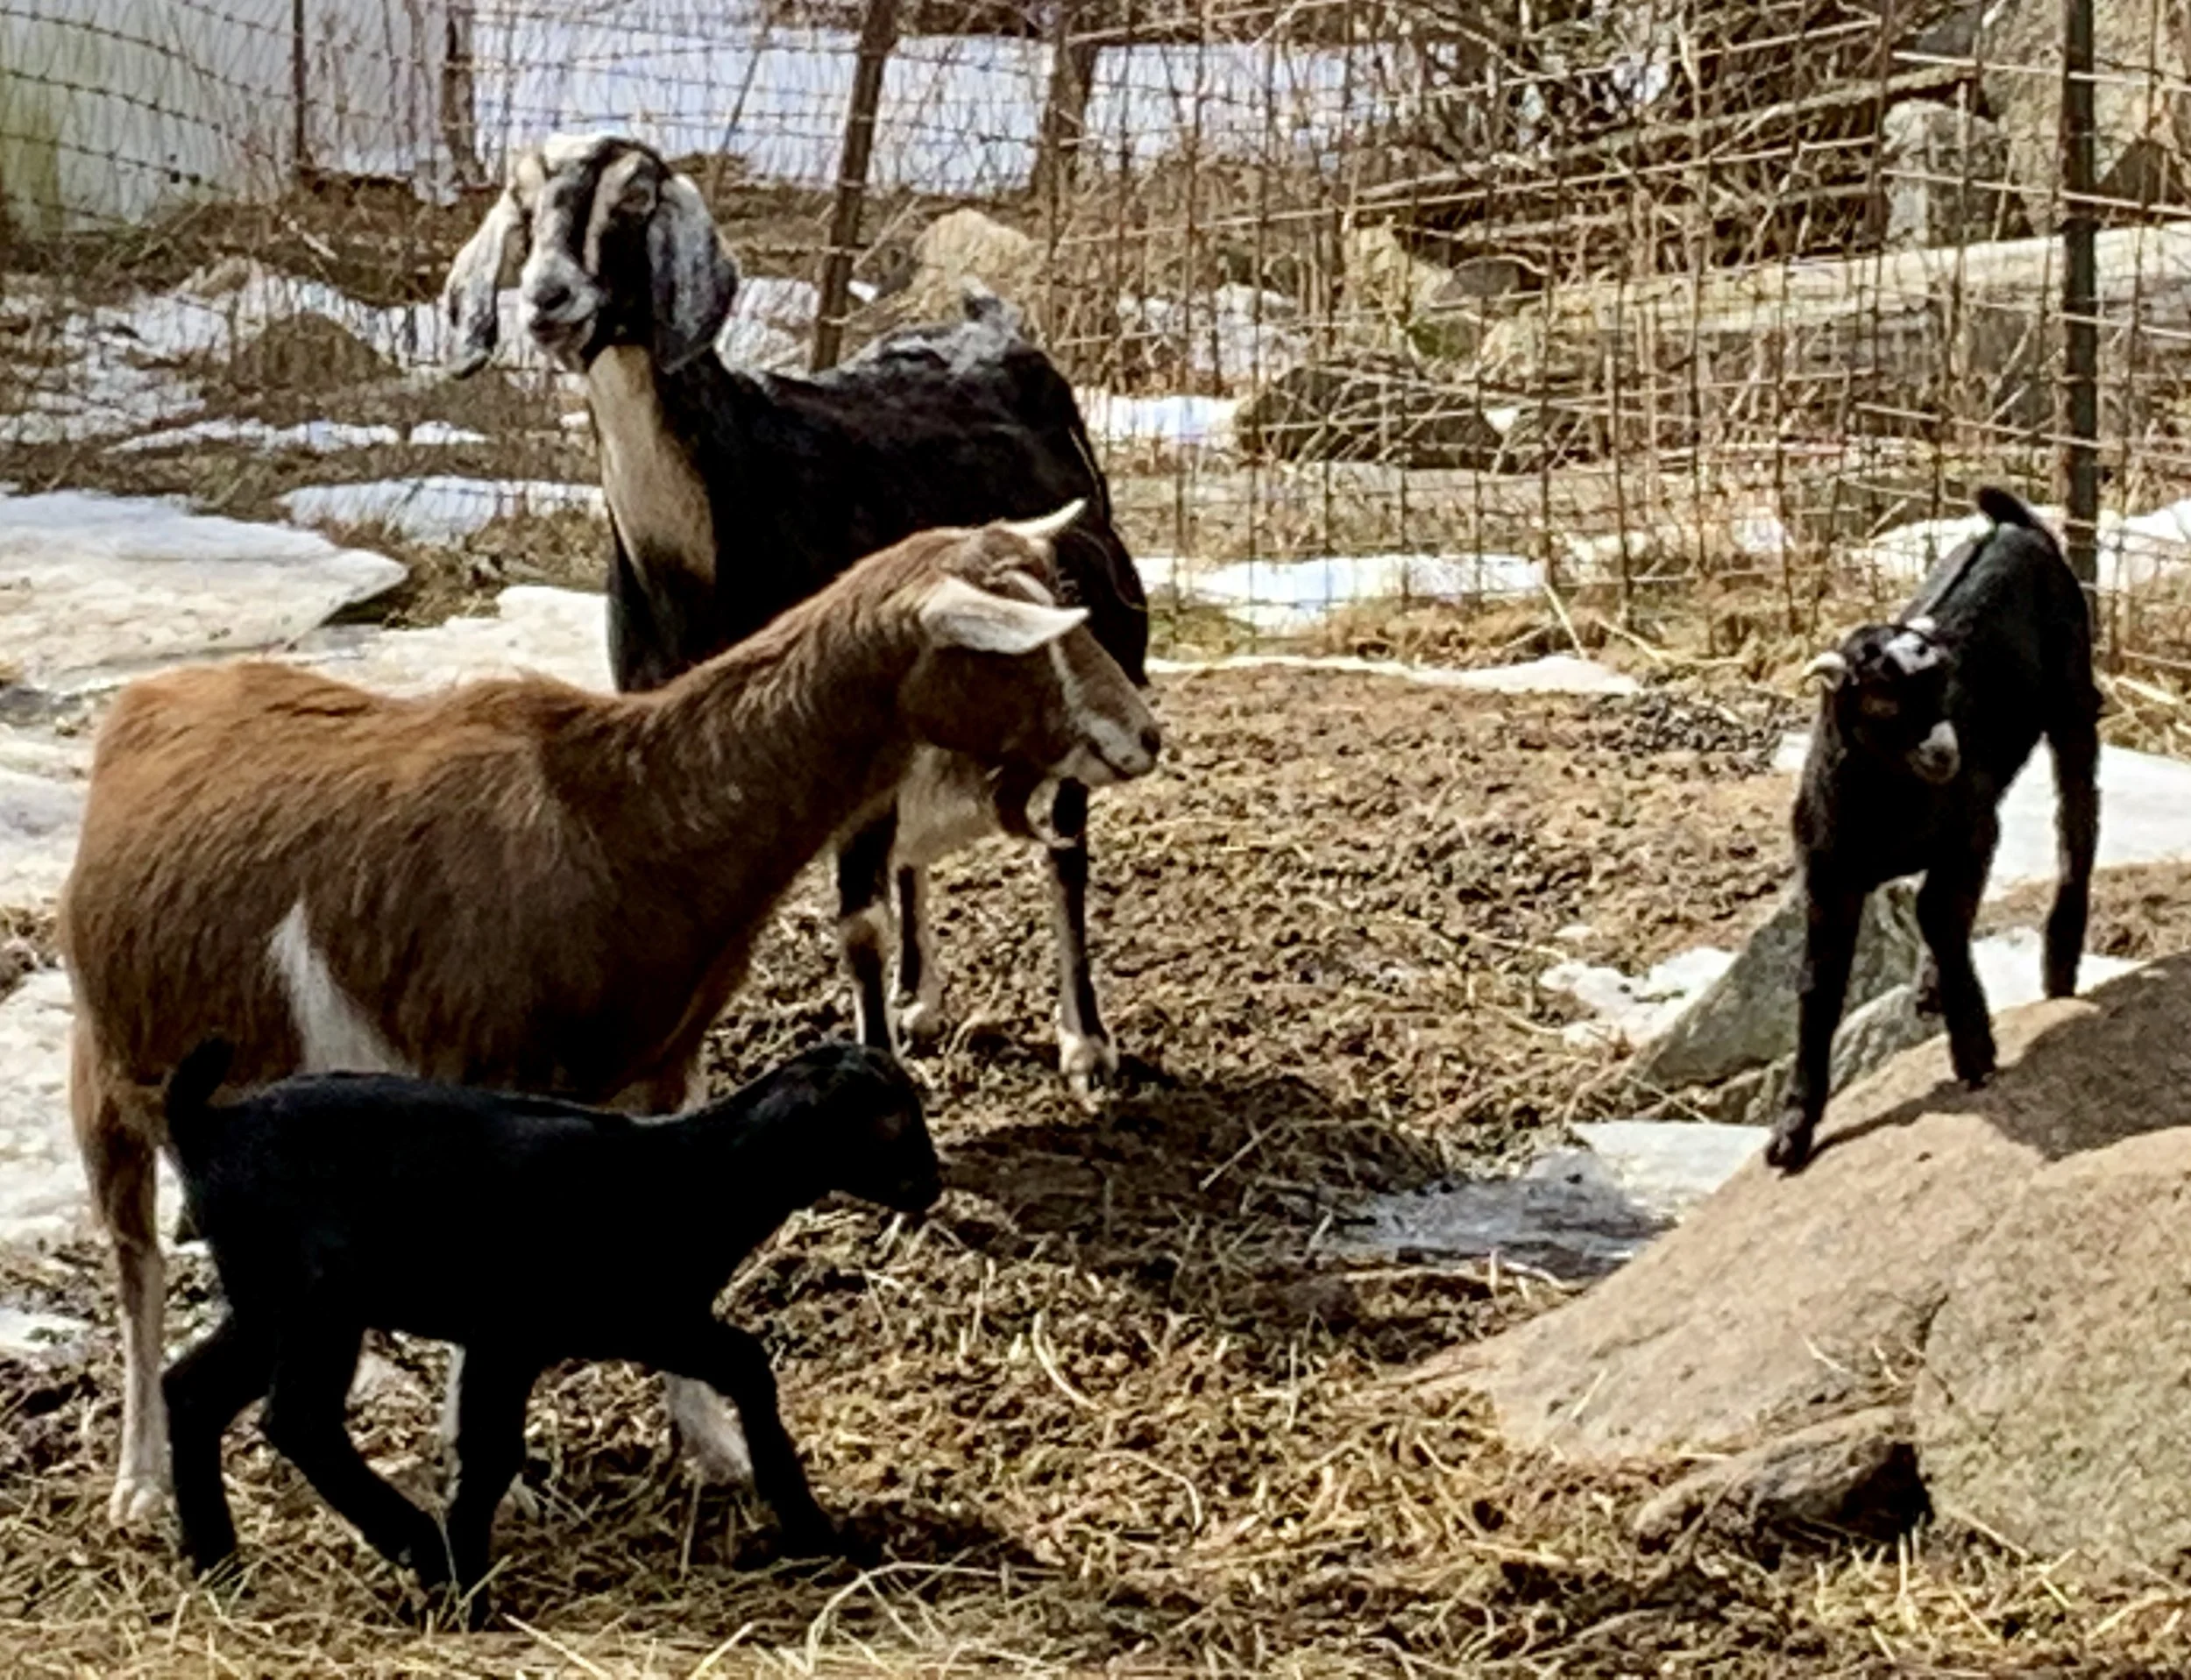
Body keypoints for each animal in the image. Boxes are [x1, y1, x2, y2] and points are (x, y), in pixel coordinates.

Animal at [63, 513, 1159, 1528]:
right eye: (1017, 642)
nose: (1141, 735)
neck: (625, 817)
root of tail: (149, 700)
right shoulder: (486, 1069)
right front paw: (499, 1474)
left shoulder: (665, 1060)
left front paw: (712, 1446)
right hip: (105, 1071)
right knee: (136, 1264)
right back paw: (140, 1485)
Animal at [163, 1035, 936, 1620]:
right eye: (894, 1121)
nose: (933, 1181)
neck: (694, 1175)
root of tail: (207, 1126)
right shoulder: (536, 1327)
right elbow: (492, 1450)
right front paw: (466, 1588)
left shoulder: (629, 1324)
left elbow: (741, 1363)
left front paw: (810, 1524)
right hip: (317, 1295)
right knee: (298, 1417)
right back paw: (415, 1542)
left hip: (266, 1303)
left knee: (192, 1389)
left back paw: (220, 1564)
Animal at [442, 132, 1150, 1101]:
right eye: (524, 205)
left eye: (634, 202)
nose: (549, 298)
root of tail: (997, 329)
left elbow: (857, 922)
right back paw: (921, 1000)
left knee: (1065, 848)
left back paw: (1085, 1044)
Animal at [1771, 488, 2099, 1172]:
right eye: (1882, 700)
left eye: (1945, 684)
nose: (1946, 753)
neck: (1885, 808)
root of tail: (2011, 526)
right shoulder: (1828, 876)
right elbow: (1819, 985)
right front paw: (1792, 1131)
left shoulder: (1971, 830)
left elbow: (1938, 914)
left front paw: (1974, 1051)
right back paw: (1932, 986)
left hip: (2072, 696)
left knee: (2076, 819)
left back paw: (2059, 961)